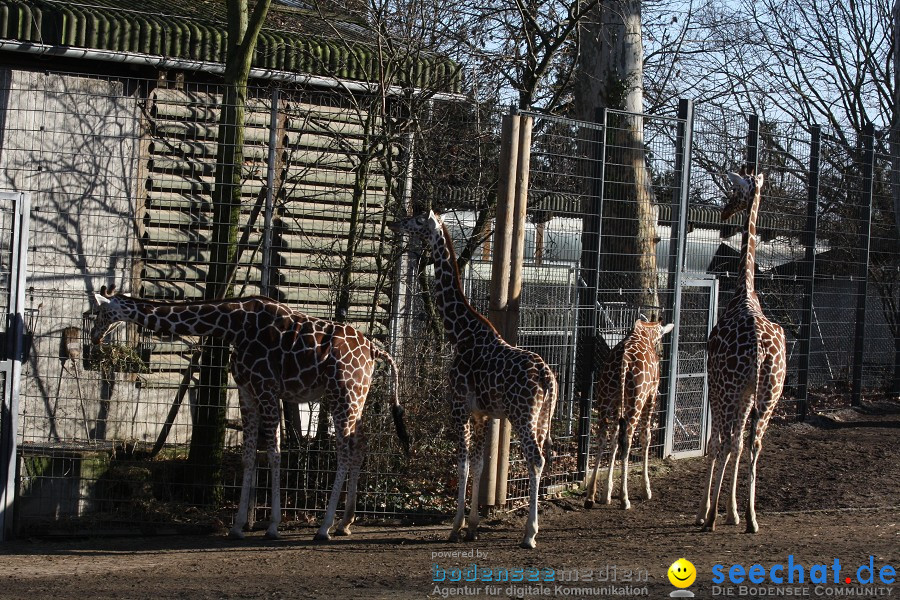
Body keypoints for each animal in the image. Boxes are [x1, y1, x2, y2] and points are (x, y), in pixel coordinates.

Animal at [89, 286, 410, 540]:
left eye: (101, 312)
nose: (93, 338)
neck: (232, 324)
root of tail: (374, 350)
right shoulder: (246, 391)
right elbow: (249, 455)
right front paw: (238, 526)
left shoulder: (266, 388)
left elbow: (274, 452)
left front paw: (273, 526)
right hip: (354, 398)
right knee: (360, 445)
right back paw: (345, 523)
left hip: (343, 394)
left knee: (344, 451)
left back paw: (324, 528)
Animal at [388, 210, 556, 548]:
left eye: (417, 220)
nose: (394, 223)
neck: (460, 333)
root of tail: (548, 378)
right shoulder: (483, 414)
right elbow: (478, 466)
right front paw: (473, 526)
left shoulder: (458, 406)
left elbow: (462, 465)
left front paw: (455, 527)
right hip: (543, 418)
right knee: (544, 457)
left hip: (522, 416)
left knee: (536, 459)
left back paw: (530, 534)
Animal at [584, 318, 676, 510]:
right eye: (661, 338)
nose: (660, 352)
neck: (646, 333)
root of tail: (623, 363)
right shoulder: (652, 395)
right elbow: (646, 437)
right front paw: (646, 490)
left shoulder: (617, 404)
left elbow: (613, 441)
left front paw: (606, 494)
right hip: (636, 401)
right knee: (627, 440)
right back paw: (624, 498)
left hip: (604, 400)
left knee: (603, 439)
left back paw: (590, 496)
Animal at [696, 171, 788, 532]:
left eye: (735, 189)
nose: (724, 213)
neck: (744, 291)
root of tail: (761, 349)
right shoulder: (749, 394)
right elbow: (737, 444)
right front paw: (732, 512)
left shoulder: (717, 383)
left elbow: (717, 443)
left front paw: (709, 512)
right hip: (769, 394)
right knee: (754, 442)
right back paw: (751, 518)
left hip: (729, 388)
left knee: (726, 441)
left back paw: (712, 519)